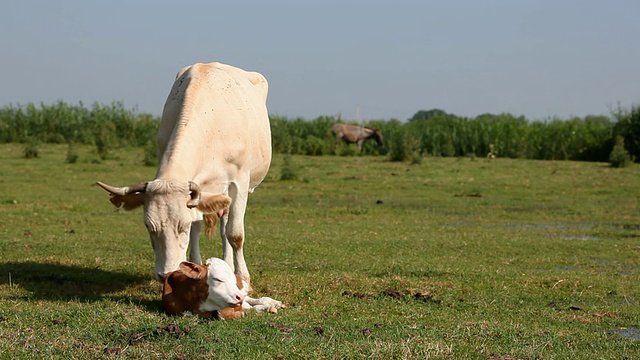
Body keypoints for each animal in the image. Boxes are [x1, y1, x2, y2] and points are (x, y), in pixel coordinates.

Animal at [96, 62, 272, 290]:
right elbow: (198, 226)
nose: (165, 274)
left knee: (227, 228)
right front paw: (195, 267)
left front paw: (245, 280)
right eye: (148, 226)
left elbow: (235, 234)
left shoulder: (239, 182)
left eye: (183, 226)